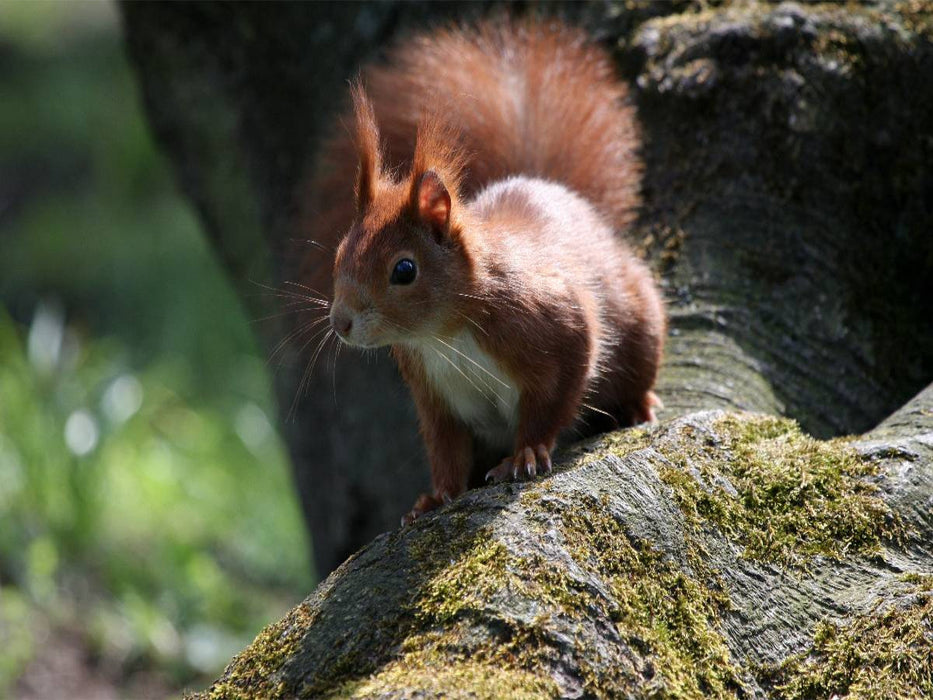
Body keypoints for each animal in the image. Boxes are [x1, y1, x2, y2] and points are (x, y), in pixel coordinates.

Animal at [304, 19, 666, 525]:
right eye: (340, 254)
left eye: (404, 270)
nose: (341, 323)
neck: (444, 335)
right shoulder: (434, 394)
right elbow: (446, 447)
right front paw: (437, 495)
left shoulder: (556, 324)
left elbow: (554, 398)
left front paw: (527, 452)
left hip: (640, 320)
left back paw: (637, 403)